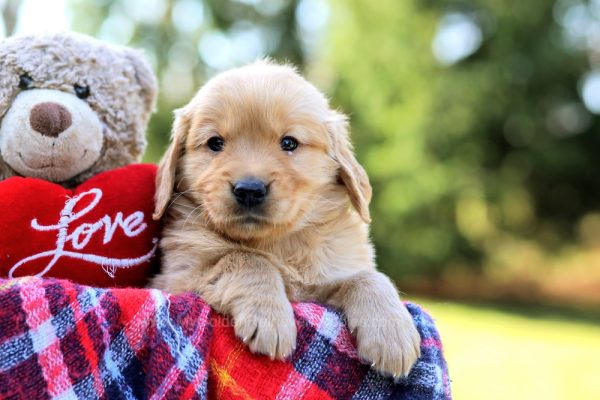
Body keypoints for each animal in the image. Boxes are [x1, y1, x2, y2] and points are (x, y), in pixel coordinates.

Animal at [151, 61, 422, 376]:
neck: (277, 243)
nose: (249, 190)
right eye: (215, 143)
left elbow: (368, 277)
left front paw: (392, 332)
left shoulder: (328, 278)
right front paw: (269, 318)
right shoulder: (174, 279)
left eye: (289, 142)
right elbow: (245, 258)